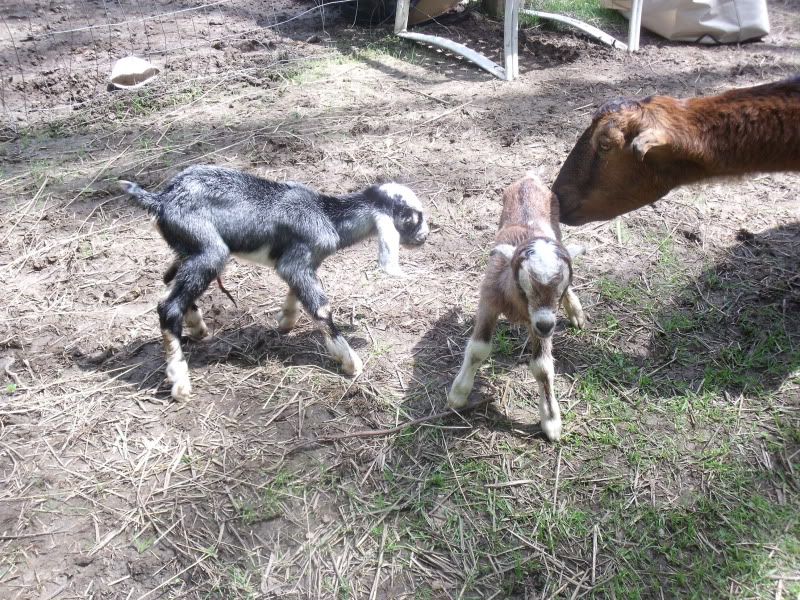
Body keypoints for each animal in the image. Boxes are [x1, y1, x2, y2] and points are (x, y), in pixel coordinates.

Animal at [119, 165, 429, 401]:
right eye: (411, 216)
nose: (424, 236)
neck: (327, 215)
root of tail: (161, 199)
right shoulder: (298, 261)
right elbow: (321, 308)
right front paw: (349, 361)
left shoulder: (302, 264)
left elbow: (295, 292)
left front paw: (286, 321)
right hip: (208, 248)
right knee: (168, 306)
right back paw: (180, 382)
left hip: (188, 249)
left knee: (172, 280)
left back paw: (196, 326)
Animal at [448, 173, 585, 441]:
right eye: (525, 285)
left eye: (562, 287)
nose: (546, 325)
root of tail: (529, 179)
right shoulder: (489, 300)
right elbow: (478, 349)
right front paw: (457, 395)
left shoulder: (538, 323)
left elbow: (542, 367)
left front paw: (551, 421)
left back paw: (575, 312)